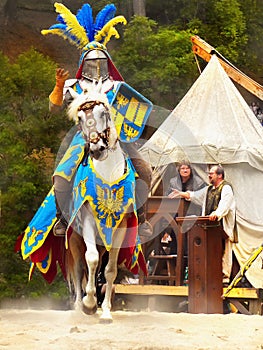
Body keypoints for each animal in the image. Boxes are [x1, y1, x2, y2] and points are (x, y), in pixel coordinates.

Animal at [65, 84, 139, 322]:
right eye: (80, 118)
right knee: (80, 268)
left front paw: (105, 311)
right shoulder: (88, 221)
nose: (97, 148)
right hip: (75, 238)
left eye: (104, 113)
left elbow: (110, 271)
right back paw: (79, 306)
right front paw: (88, 304)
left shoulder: (120, 227)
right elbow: (91, 260)